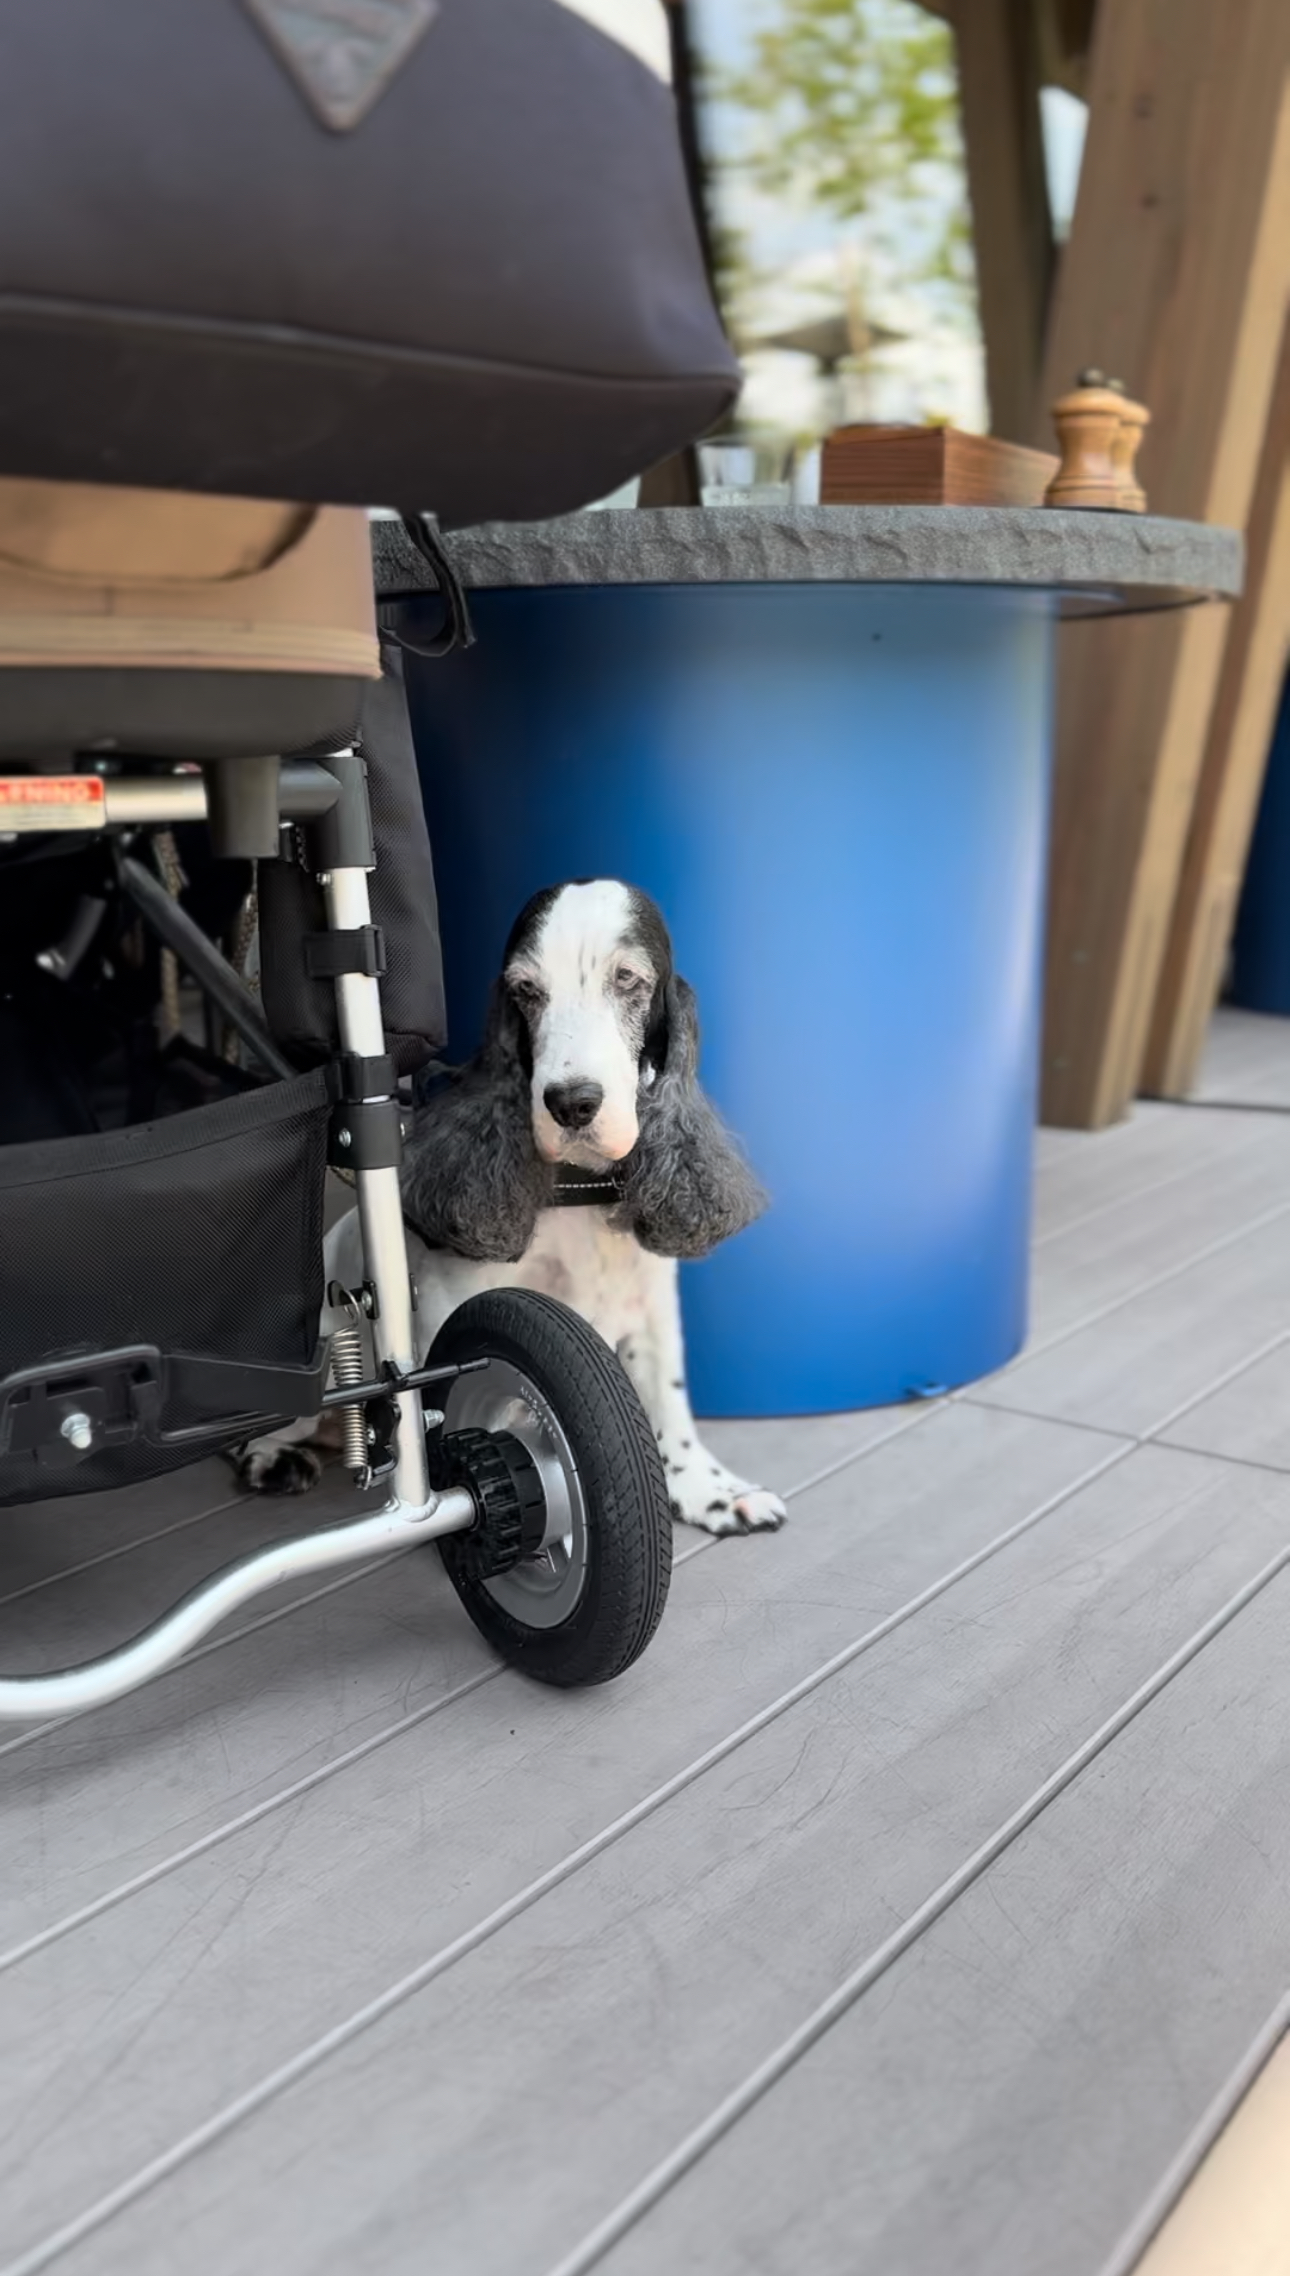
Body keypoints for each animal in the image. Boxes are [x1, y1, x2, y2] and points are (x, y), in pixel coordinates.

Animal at [243, 880, 786, 1535]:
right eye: (526, 990)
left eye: (628, 979)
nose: (572, 1102)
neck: (579, 1190)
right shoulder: (455, 1317)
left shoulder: (654, 1305)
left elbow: (670, 1399)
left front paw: (712, 1491)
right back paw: (273, 1457)